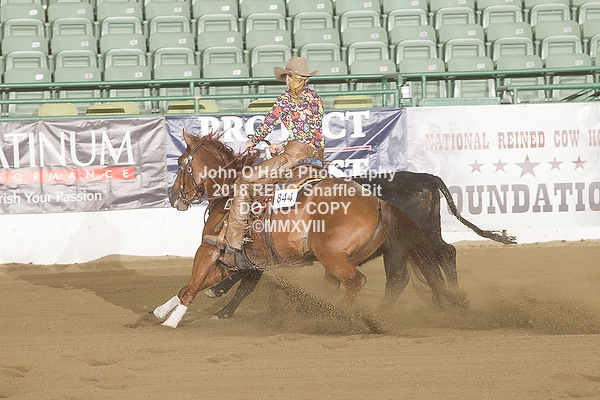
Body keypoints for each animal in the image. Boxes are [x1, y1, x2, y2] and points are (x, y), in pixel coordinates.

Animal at [152, 131, 467, 328]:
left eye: (180, 163)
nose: (173, 196)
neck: (229, 192)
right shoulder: (240, 259)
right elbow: (195, 285)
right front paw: (162, 310)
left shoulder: (209, 250)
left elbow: (196, 283)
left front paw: (174, 319)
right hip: (409, 241)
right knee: (438, 258)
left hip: (358, 251)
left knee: (384, 278)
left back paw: (343, 318)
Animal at [204, 171, 516, 319]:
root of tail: (425, 178)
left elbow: (246, 274)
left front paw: (219, 298)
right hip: (426, 232)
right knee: (443, 254)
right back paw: (449, 300)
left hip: (408, 242)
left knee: (415, 269)